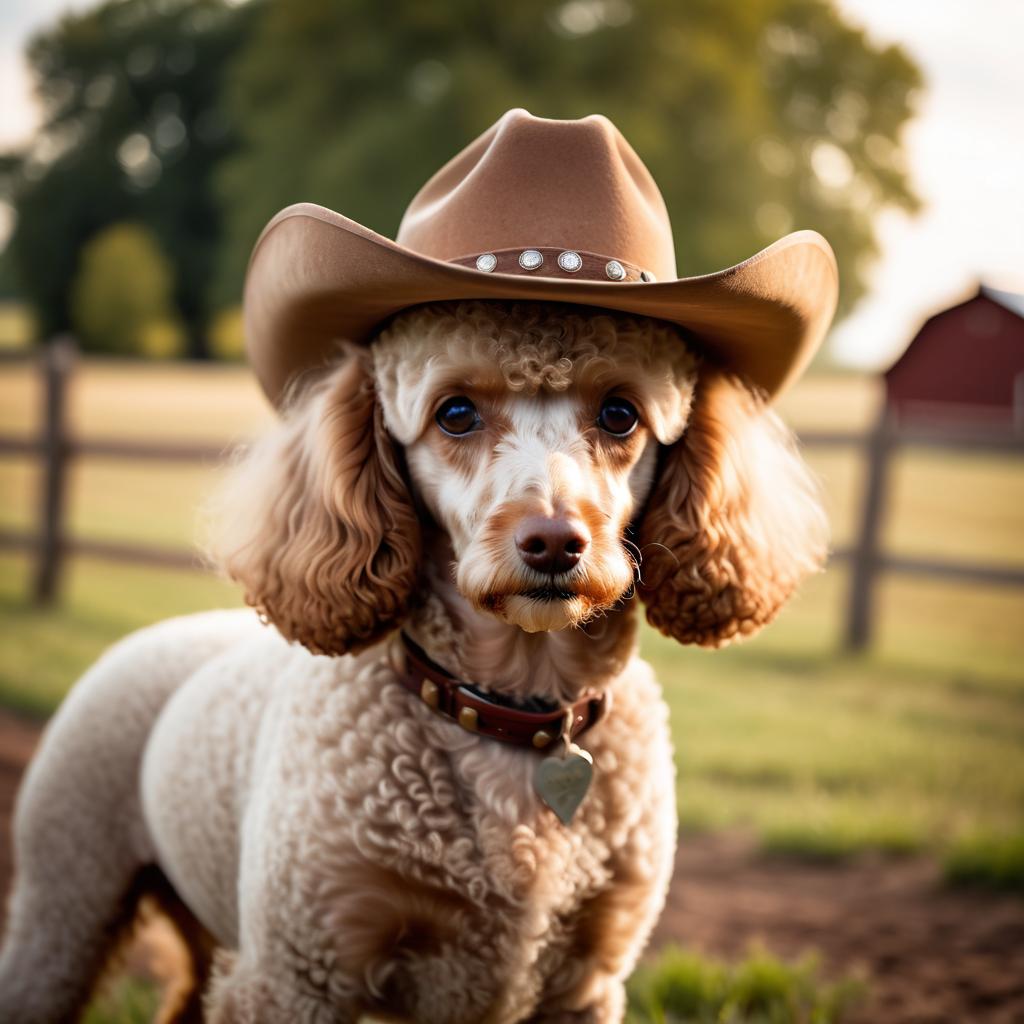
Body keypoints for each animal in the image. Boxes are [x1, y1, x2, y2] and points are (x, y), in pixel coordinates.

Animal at [0, 296, 823, 1015]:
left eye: (620, 413)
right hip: (65, 904)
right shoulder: (296, 974)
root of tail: (153, 634)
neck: (513, 713)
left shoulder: (586, 985)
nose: (554, 541)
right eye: (454, 412)